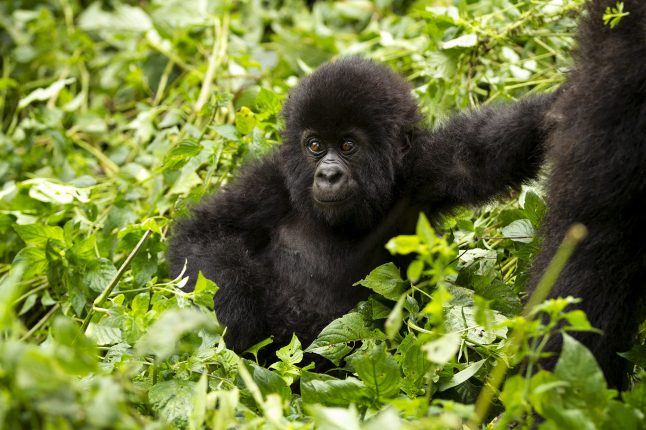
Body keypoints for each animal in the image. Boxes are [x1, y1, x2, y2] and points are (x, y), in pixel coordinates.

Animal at [170, 58, 556, 354]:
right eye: (314, 145)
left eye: (347, 145)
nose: (328, 174)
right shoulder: (271, 182)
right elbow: (204, 233)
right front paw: (236, 312)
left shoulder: (423, 172)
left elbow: (480, 158)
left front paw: (558, 106)